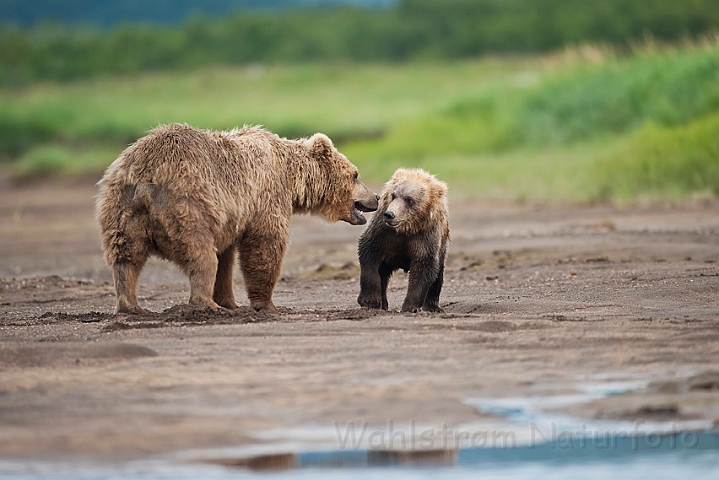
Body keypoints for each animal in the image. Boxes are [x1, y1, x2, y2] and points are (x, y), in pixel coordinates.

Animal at [97, 122, 380, 314]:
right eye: (355, 174)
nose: (376, 197)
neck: (290, 176)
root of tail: (147, 178)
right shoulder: (265, 195)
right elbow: (265, 244)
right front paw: (266, 304)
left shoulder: (232, 217)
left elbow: (226, 259)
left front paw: (230, 301)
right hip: (189, 204)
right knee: (200, 253)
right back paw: (205, 303)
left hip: (122, 209)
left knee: (126, 257)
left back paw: (131, 305)